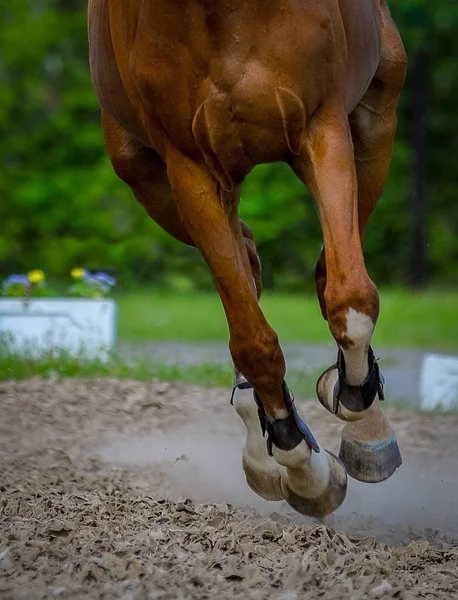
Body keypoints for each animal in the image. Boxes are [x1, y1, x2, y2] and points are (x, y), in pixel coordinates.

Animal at [87, 0, 406, 516]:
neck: (225, 12)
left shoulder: (322, 128)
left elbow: (352, 299)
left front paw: (354, 416)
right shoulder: (191, 171)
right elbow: (254, 341)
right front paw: (303, 469)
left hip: (376, 120)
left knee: (323, 273)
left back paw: (364, 427)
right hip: (151, 179)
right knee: (248, 264)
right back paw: (263, 448)